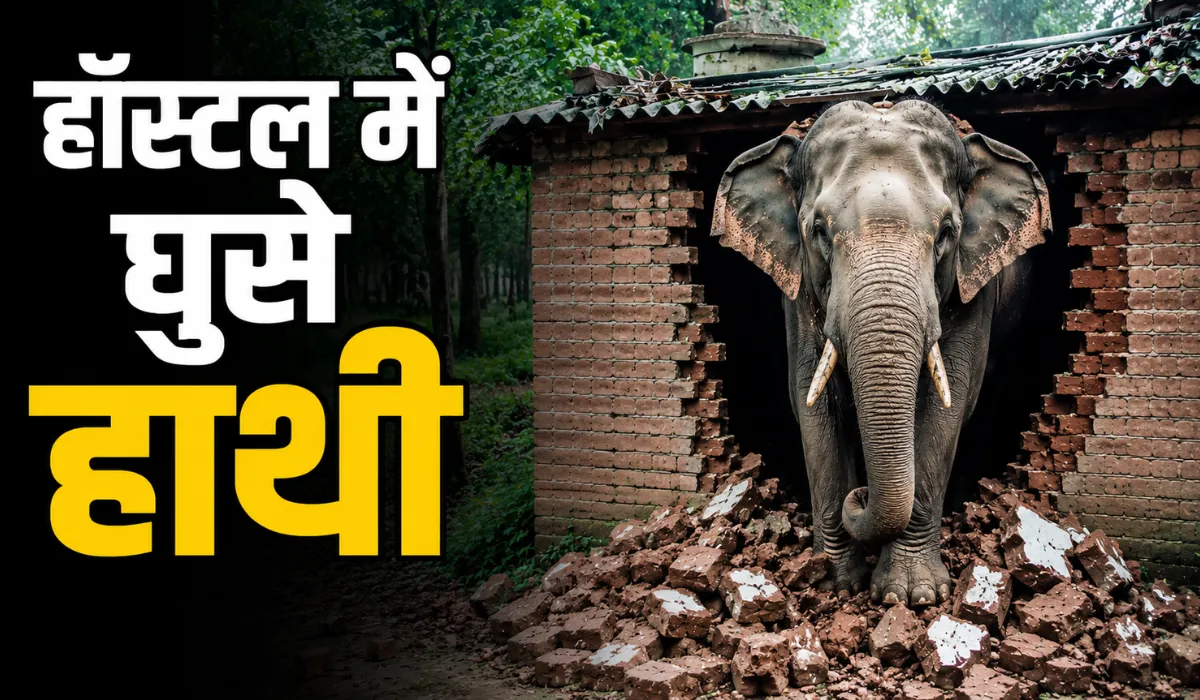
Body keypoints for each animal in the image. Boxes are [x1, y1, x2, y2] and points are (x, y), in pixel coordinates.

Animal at [711, 98, 1052, 607]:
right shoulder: (797, 292)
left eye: (946, 231)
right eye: (818, 230)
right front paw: (834, 583)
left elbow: (948, 406)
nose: (861, 497)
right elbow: (812, 402)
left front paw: (910, 596)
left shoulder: (973, 289)